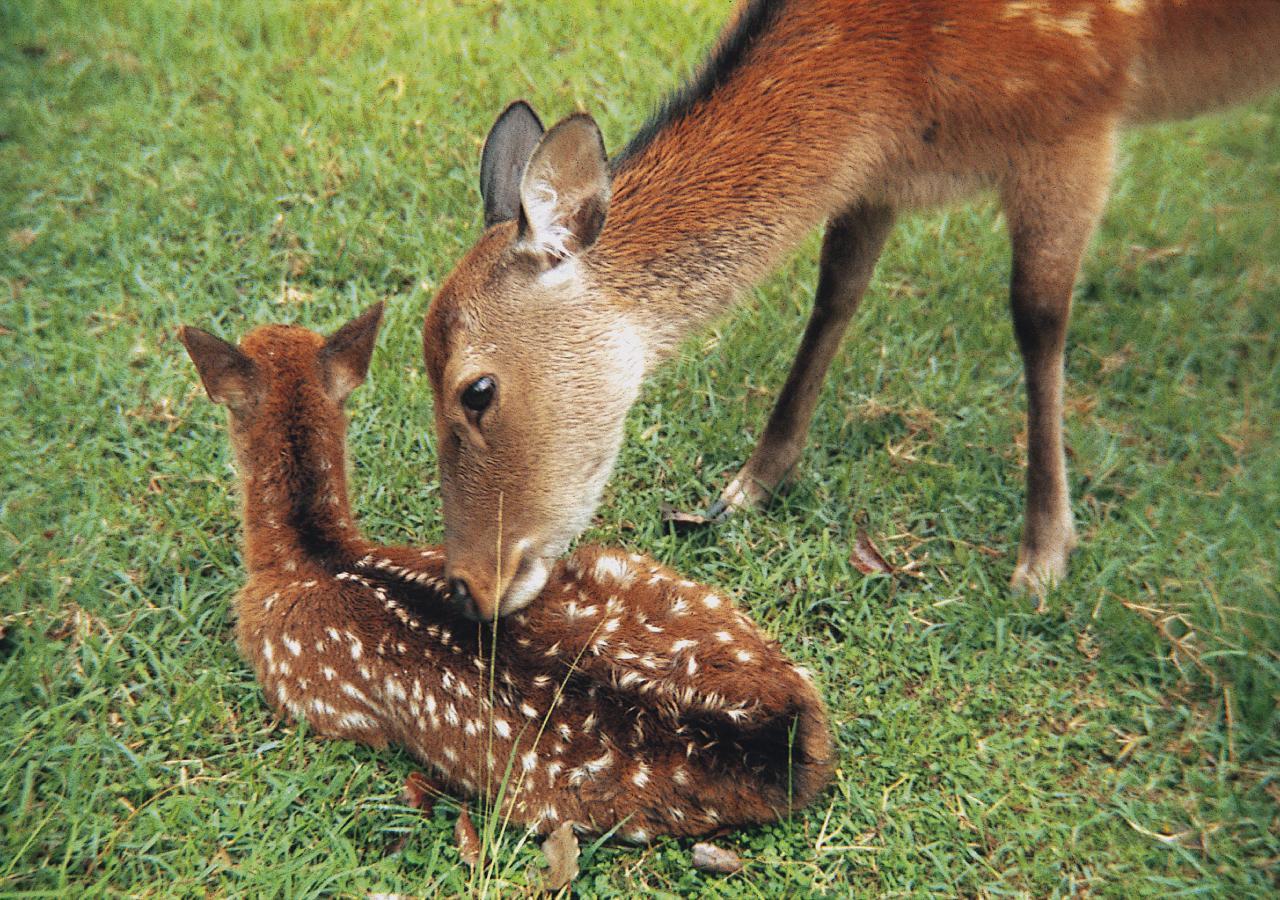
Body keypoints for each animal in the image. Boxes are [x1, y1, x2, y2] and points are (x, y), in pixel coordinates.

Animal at [427, 0, 1280, 619]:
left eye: (477, 390)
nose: (469, 589)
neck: (904, 77)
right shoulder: (878, 175)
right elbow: (835, 293)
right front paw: (748, 486)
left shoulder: (1079, 121)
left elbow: (1038, 318)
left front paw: (1043, 557)